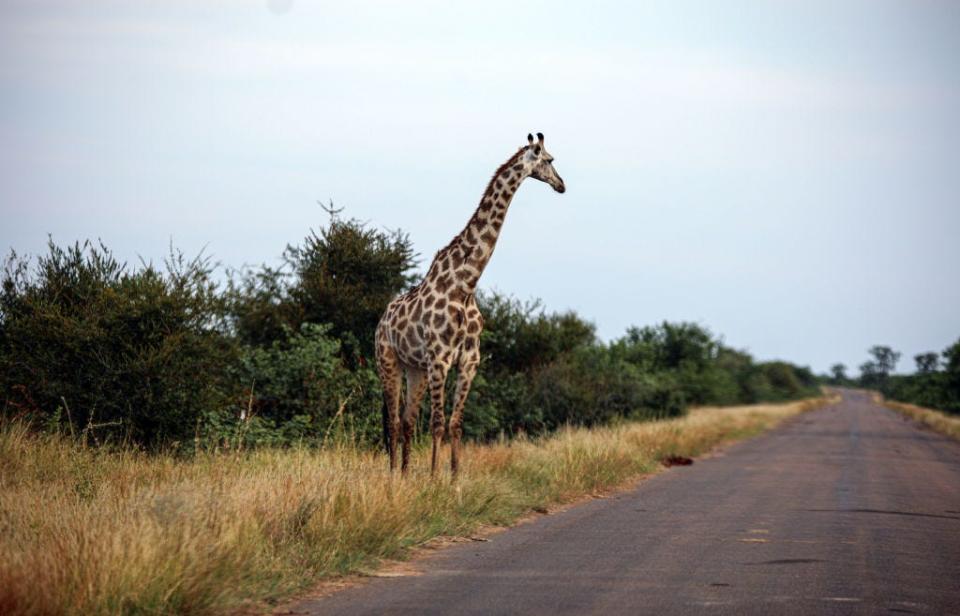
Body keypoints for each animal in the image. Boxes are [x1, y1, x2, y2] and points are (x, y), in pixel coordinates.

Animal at [374, 132, 564, 474]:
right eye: (550, 160)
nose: (561, 184)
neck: (466, 284)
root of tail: (381, 320)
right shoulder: (440, 359)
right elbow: (437, 424)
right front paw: (434, 479)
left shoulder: (469, 360)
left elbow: (455, 423)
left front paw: (454, 478)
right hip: (388, 360)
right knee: (394, 422)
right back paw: (393, 477)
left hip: (415, 369)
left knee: (407, 421)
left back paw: (406, 476)